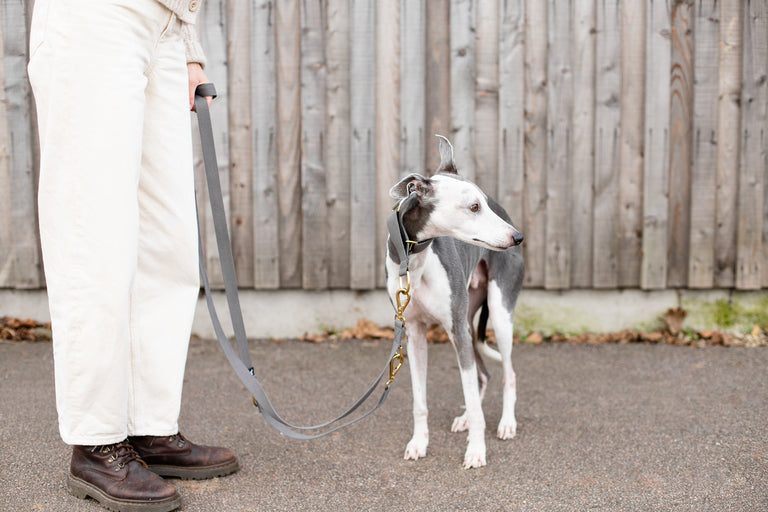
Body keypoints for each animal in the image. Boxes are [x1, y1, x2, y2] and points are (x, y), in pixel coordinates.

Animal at [388, 135, 524, 468]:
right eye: (474, 207)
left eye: (485, 203)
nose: (517, 237)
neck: (416, 259)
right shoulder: (415, 333)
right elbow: (420, 401)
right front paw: (418, 443)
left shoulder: (457, 330)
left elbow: (474, 401)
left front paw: (476, 451)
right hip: (469, 320)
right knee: (483, 374)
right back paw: (464, 419)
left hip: (499, 314)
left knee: (509, 374)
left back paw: (506, 423)